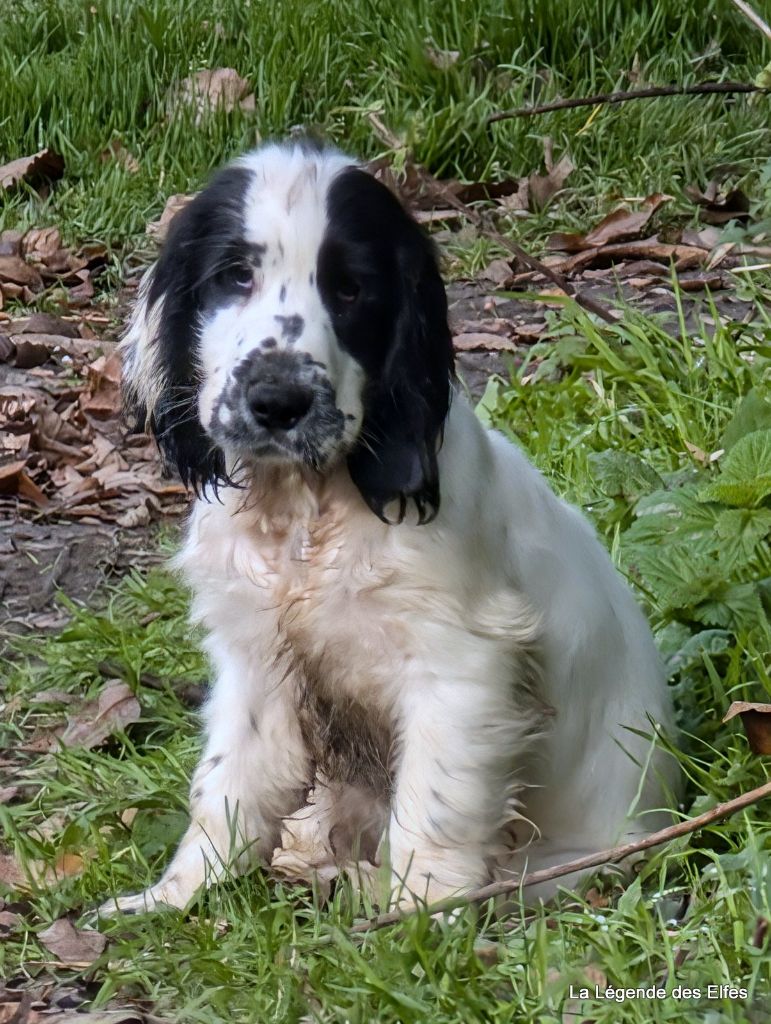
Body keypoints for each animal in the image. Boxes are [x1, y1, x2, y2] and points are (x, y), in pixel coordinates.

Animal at [103, 142, 679, 913]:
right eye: (235, 275)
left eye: (351, 290)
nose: (277, 402)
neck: (308, 508)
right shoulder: (255, 656)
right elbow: (227, 782)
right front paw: (177, 899)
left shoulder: (458, 662)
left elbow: (432, 801)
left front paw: (418, 913)